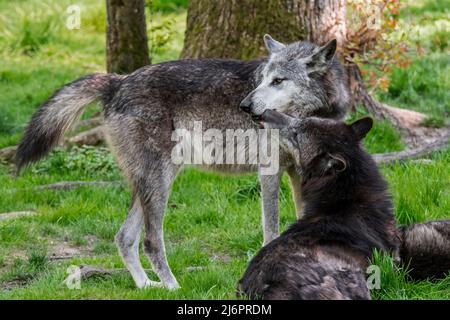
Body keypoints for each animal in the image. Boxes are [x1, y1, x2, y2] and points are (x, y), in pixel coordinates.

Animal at [15, 35, 350, 290]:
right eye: (264, 79)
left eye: (279, 80)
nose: (244, 105)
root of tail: (118, 82)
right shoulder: (269, 172)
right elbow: (272, 228)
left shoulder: (300, 173)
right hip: (160, 180)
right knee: (151, 240)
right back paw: (173, 287)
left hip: (155, 181)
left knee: (124, 237)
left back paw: (147, 287)